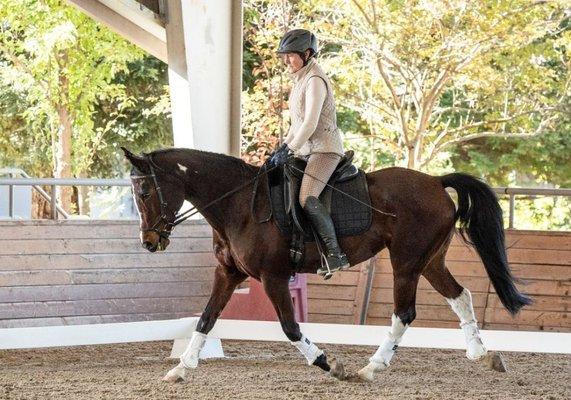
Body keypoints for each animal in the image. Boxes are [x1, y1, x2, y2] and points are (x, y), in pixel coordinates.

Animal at [124, 146, 532, 382]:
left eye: (143, 190)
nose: (149, 242)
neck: (238, 204)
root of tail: (435, 181)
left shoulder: (273, 277)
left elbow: (290, 328)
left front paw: (327, 362)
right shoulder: (228, 273)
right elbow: (206, 318)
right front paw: (181, 366)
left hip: (406, 261)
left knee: (404, 313)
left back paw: (371, 367)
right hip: (429, 260)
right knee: (460, 296)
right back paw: (482, 355)